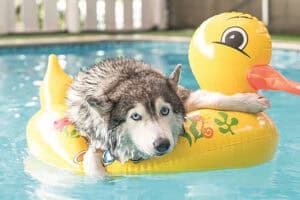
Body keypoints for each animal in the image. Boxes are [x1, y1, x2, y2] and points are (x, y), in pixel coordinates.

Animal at [67, 58, 268, 177]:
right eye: (135, 116)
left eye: (164, 111)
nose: (162, 144)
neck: (124, 78)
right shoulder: (96, 138)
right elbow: (91, 160)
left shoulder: (183, 97)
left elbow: (211, 98)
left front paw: (249, 102)